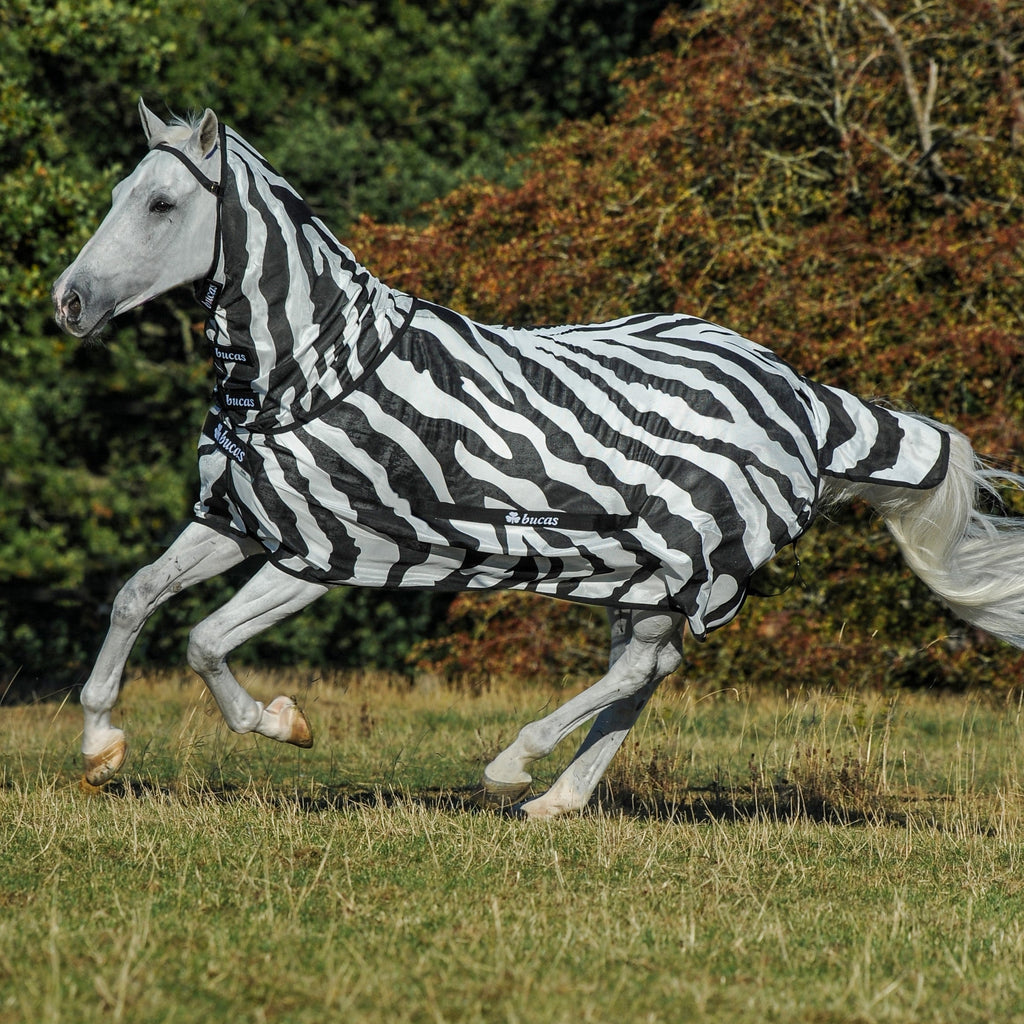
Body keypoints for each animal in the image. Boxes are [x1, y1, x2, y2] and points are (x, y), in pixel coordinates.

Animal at [52, 101, 1024, 819]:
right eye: (120, 190)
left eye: (162, 206)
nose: (69, 302)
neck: (310, 368)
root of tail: (805, 396)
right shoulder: (240, 521)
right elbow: (137, 596)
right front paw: (100, 750)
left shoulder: (330, 551)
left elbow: (205, 640)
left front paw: (282, 723)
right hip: (643, 571)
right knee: (647, 672)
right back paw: (557, 801)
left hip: (687, 558)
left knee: (639, 670)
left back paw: (514, 768)